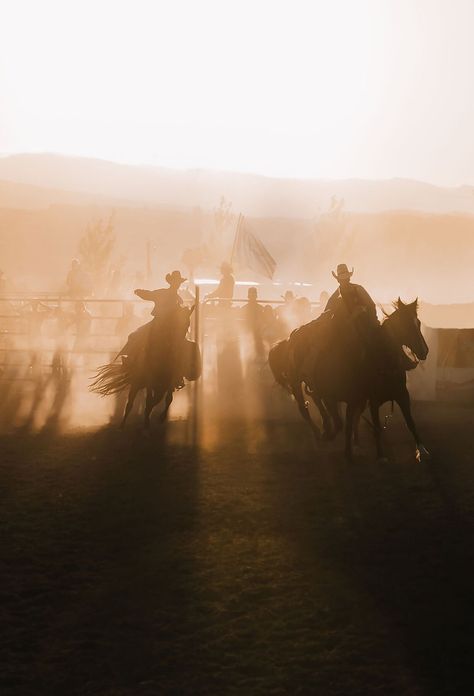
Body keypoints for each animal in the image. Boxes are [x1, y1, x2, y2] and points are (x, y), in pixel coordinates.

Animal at [270, 300, 430, 462]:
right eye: (405, 324)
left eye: (418, 323)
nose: (424, 351)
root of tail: (290, 339)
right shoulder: (371, 399)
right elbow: (372, 425)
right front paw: (379, 455)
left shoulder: (400, 395)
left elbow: (410, 422)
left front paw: (422, 450)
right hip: (296, 381)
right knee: (304, 409)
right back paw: (320, 433)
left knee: (322, 403)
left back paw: (334, 433)